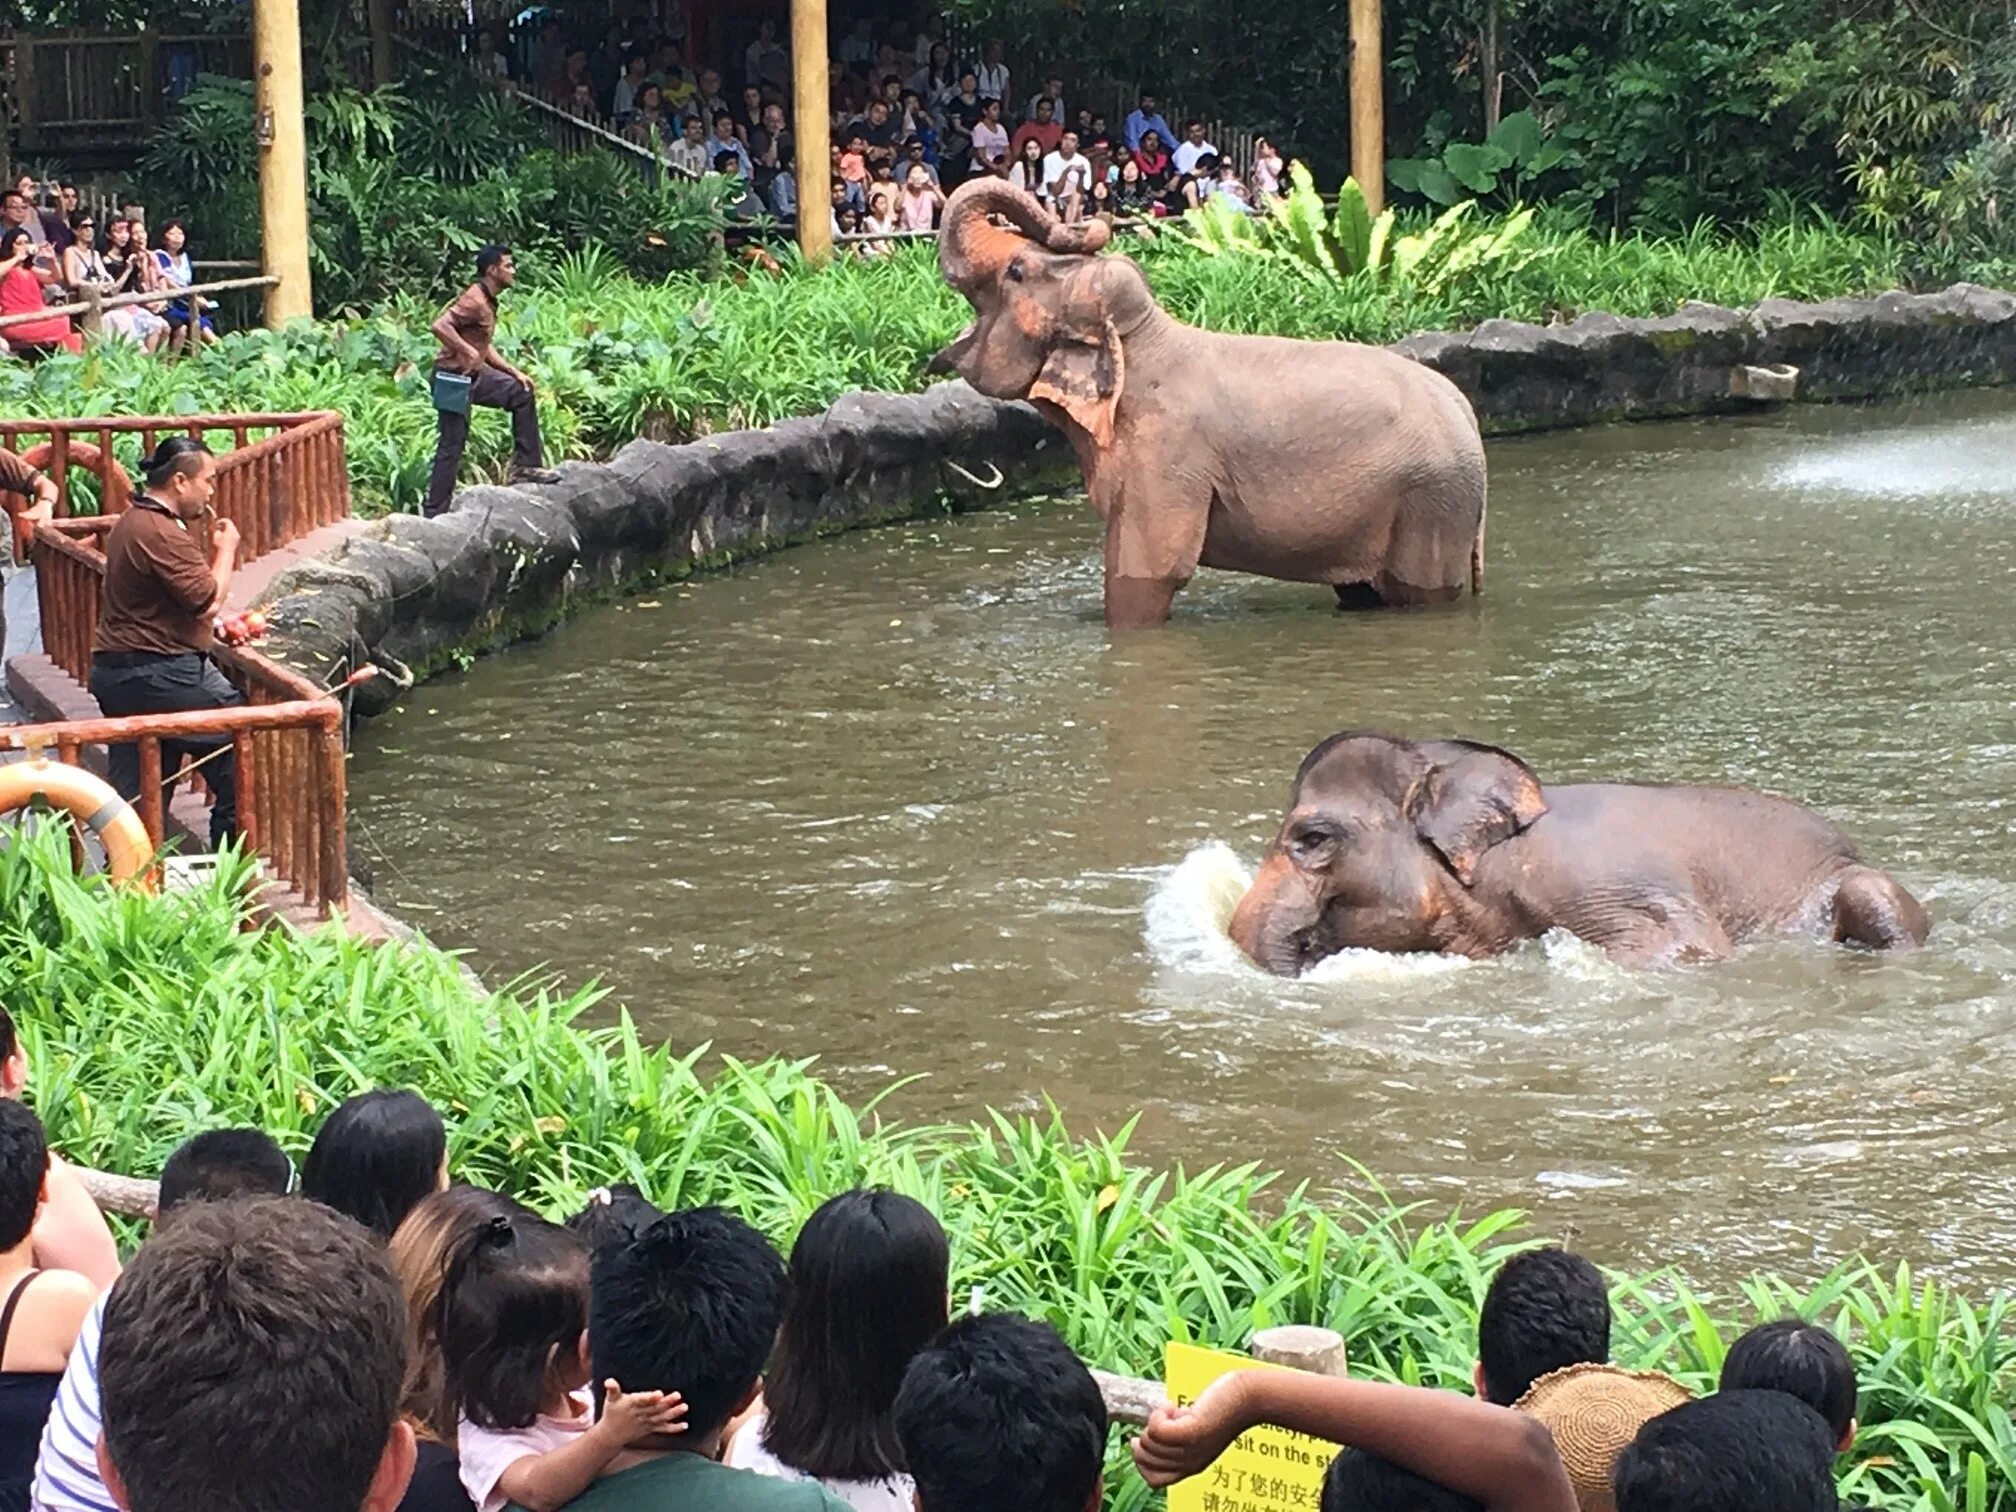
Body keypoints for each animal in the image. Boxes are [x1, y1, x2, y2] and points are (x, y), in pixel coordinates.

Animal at [923, 180, 1483, 628]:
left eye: (1016, 271)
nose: (1086, 217)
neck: (1144, 337)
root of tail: (1469, 419)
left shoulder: (1168, 460)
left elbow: (1146, 574)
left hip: (1431, 504)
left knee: (1418, 592)